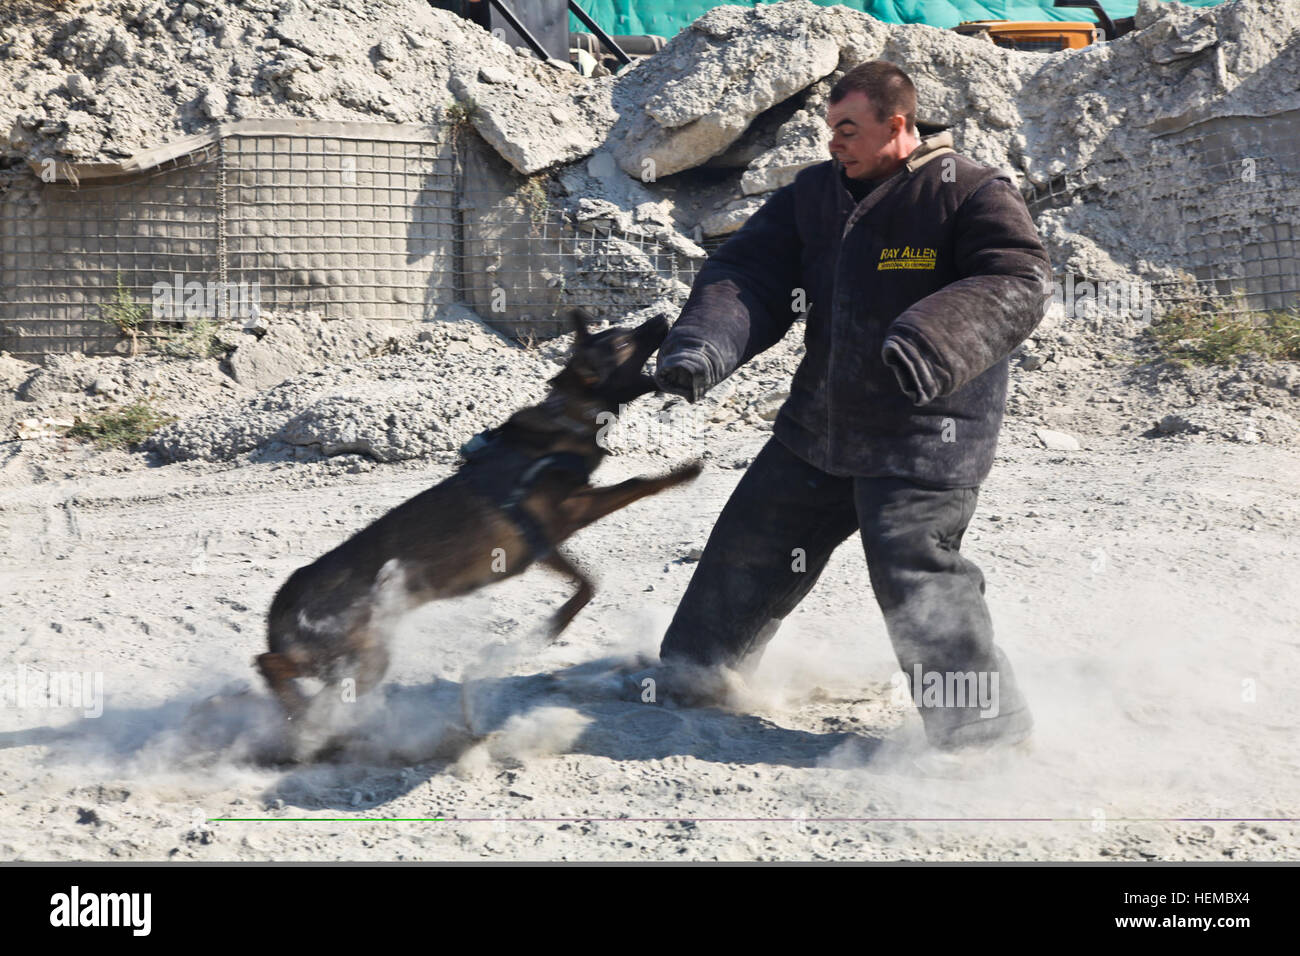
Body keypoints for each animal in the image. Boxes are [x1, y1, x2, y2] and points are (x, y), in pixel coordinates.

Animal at [254, 310, 702, 723]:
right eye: (623, 341)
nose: (662, 316)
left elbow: (587, 583)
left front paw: (554, 625)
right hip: (352, 646)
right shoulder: (571, 510)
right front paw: (683, 473)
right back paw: (299, 710)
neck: (567, 420)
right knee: (268, 663)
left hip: (353, 657)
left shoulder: (543, 544)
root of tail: (282, 600)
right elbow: (638, 483)